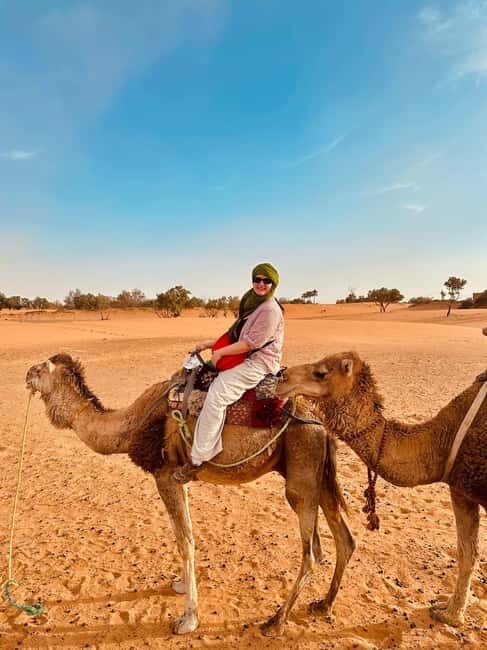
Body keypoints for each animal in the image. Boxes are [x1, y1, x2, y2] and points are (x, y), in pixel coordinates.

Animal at [25, 353, 356, 636]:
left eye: (40, 368)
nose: (26, 374)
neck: (130, 426)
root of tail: (319, 420)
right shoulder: (177, 475)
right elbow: (185, 535)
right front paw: (183, 585)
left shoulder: (164, 474)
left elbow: (184, 542)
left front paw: (187, 619)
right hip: (317, 474)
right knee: (345, 540)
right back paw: (323, 605)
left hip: (301, 471)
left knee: (312, 552)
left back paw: (276, 622)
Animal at [276, 350, 486, 627]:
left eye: (321, 372)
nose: (282, 376)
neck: (443, 438)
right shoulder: (461, 490)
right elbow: (467, 552)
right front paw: (450, 615)